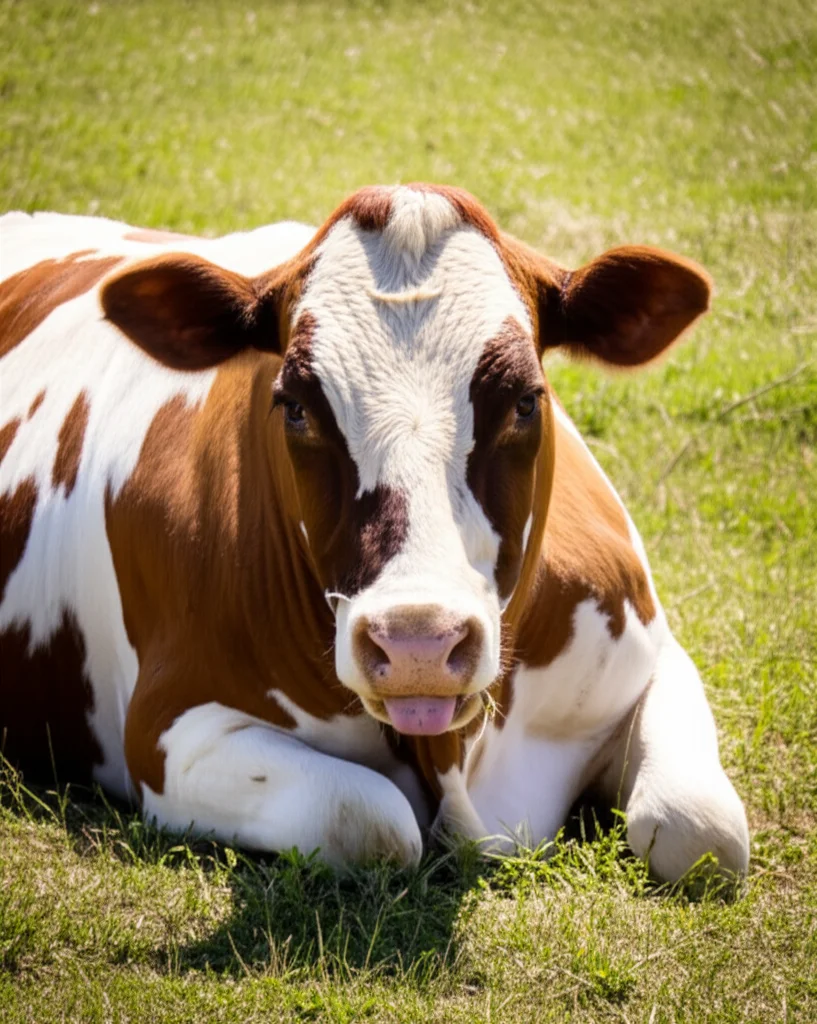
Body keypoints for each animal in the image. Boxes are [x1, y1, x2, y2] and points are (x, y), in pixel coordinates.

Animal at [0, 185, 749, 882]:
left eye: (527, 400)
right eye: (294, 406)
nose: (419, 645)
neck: (457, 759)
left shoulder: (651, 655)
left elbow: (701, 830)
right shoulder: (169, 732)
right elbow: (374, 820)